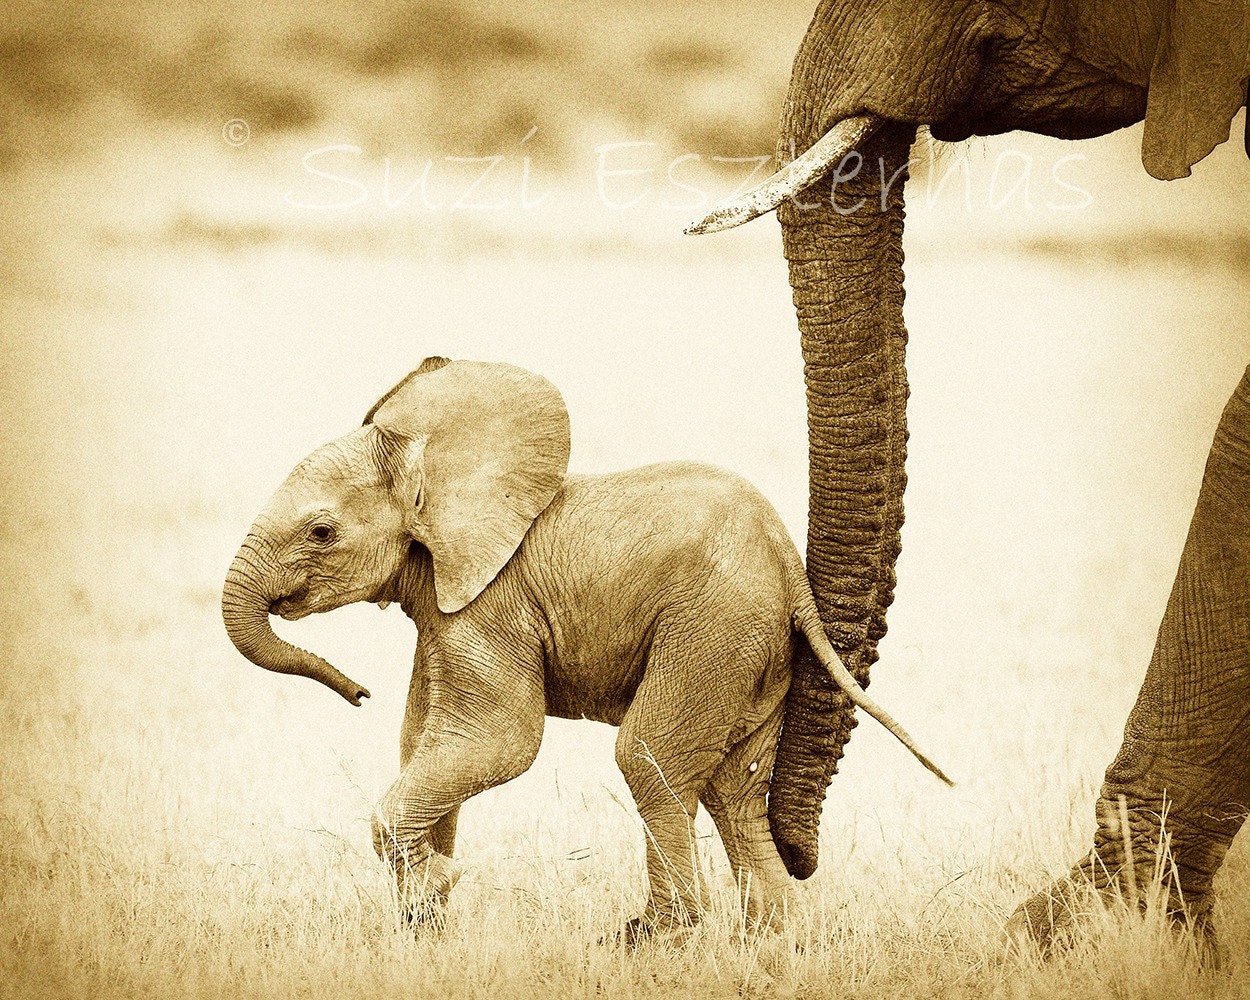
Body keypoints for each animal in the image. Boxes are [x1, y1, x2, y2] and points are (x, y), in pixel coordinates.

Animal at [221, 356, 950, 937]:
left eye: (320, 532)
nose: (357, 693)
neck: (436, 464)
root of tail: (790, 571)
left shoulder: (492, 606)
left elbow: (497, 743)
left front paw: (435, 885)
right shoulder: (445, 607)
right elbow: (422, 742)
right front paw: (424, 920)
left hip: (714, 627)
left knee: (648, 755)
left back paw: (653, 938)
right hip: (755, 650)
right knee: (733, 790)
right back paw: (775, 940)